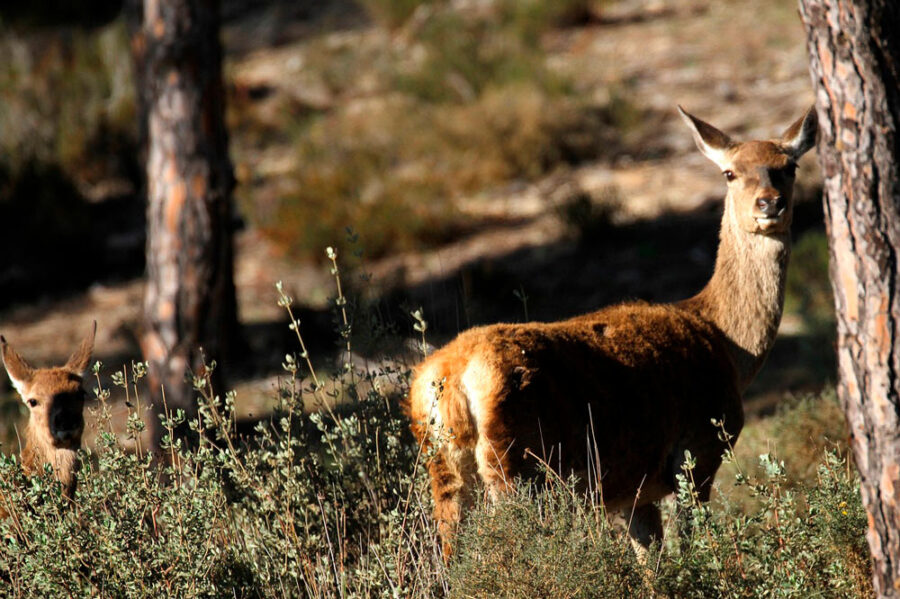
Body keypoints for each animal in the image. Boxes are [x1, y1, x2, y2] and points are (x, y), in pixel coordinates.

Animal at [408, 105, 816, 556]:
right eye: (729, 172)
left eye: (789, 166)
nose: (770, 203)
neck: (726, 342)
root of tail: (451, 377)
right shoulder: (699, 449)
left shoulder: (632, 491)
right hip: (519, 463)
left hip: (444, 466)